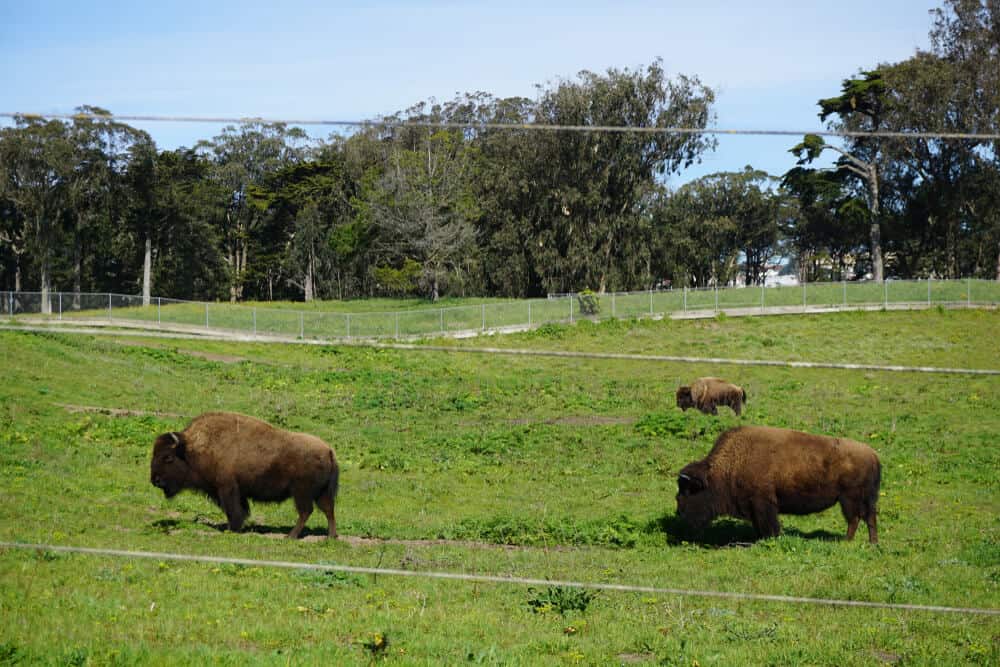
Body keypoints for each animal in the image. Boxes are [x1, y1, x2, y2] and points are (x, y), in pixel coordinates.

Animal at [150, 410, 340, 540]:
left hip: (301, 492)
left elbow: (232, 509)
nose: (155, 480)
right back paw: (330, 536)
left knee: (306, 511)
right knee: (328, 510)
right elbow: (241, 509)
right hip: (321, 493)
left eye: (168, 457)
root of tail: (328, 451)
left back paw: (290, 536)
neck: (191, 449)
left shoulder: (226, 488)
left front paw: (231, 528)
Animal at [676, 428, 880, 544]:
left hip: (849, 499)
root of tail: (872, 455)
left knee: (855, 519)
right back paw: (872, 544)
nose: (679, 514)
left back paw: (847, 542)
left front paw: (771, 539)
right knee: (869, 518)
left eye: (688, 492)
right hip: (866, 500)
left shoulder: (763, 503)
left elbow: (769, 524)